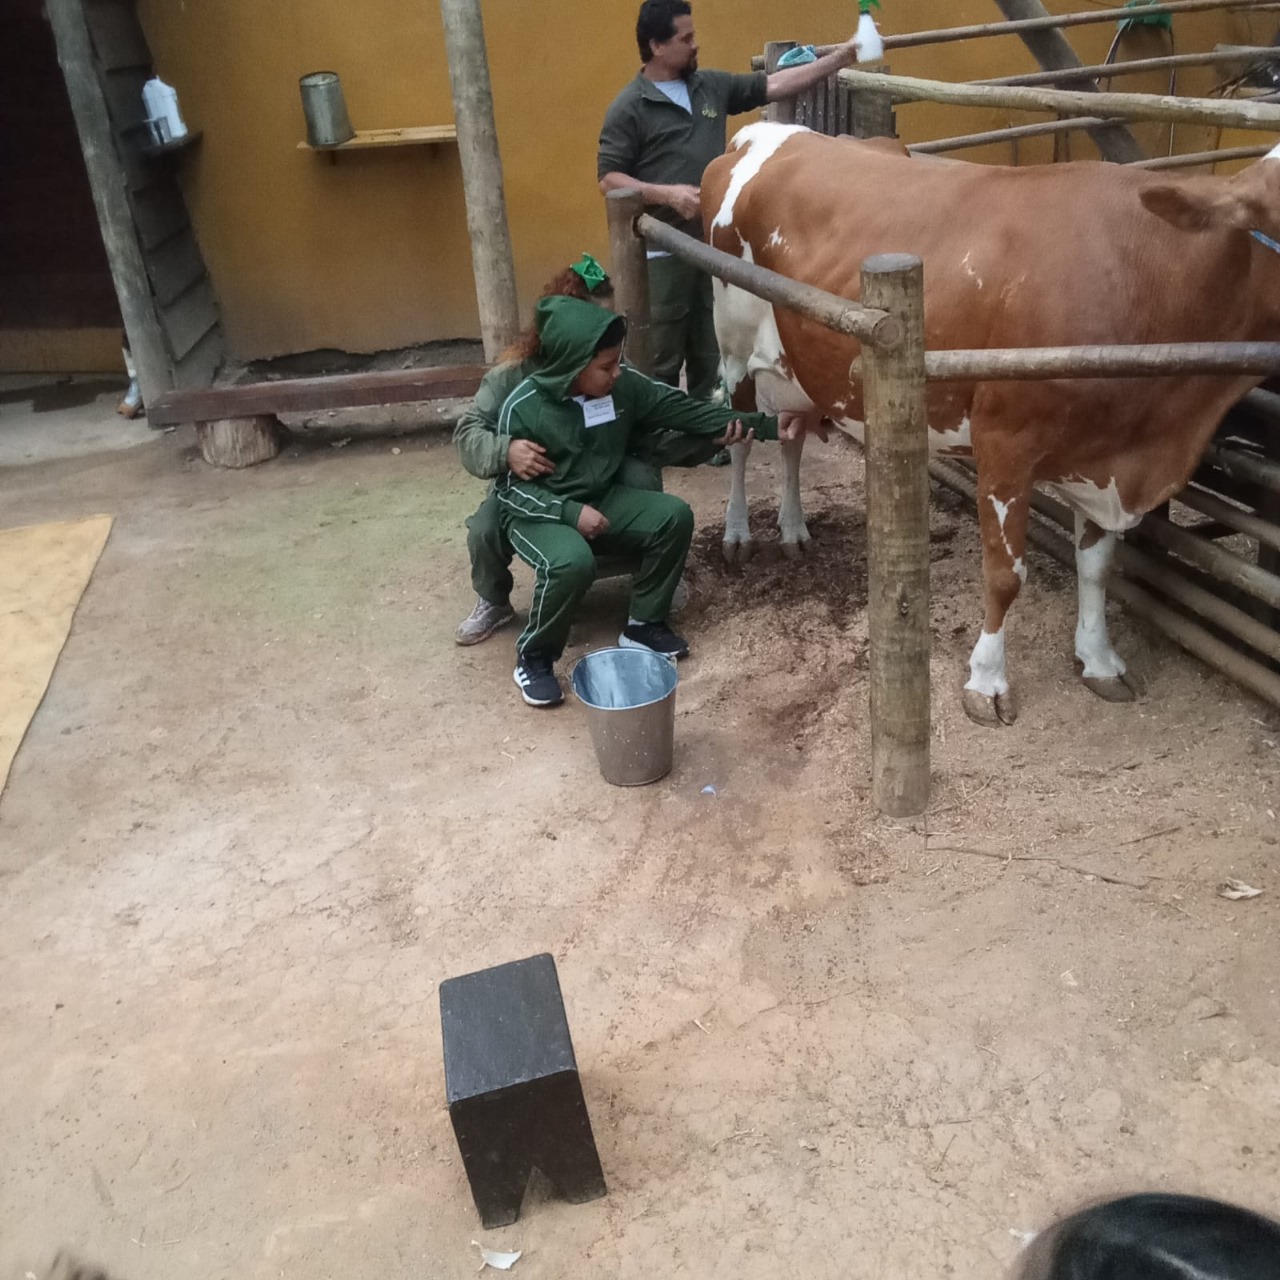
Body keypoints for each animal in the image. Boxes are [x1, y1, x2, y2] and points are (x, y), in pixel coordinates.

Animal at [703, 122, 1280, 727]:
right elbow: (1005, 575)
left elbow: (1097, 566)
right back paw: (738, 533)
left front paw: (1099, 659)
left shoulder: (1101, 460)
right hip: (734, 345)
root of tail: (768, 130)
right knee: (740, 440)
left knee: (790, 439)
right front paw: (987, 680)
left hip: (797, 366)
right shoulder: (1005, 444)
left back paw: (793, 529)